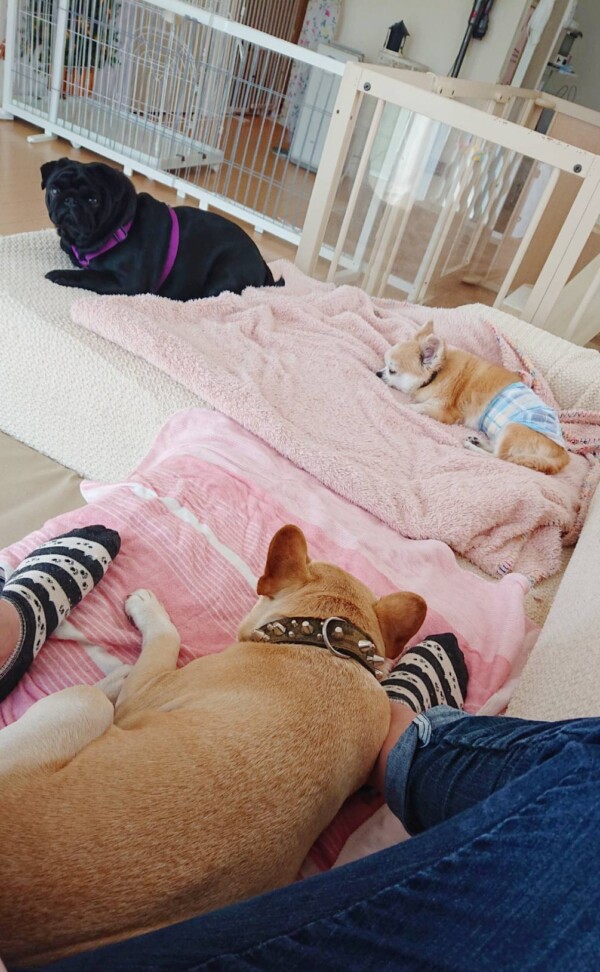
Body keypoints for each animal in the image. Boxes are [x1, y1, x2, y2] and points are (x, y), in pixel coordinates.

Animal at [0, 524, 426, 966]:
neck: (325, 643)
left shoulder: (147, 694)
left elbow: (166, 641)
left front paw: (148, 612)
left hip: (80, 704)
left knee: (97, 697)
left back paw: (115, 677)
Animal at [41, 158, 284, 300]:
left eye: (93, 200)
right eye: (54, 190)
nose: (69, 201)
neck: (121, 226)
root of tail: (262, 263)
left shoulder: (127, 283)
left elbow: (88, 276)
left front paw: (59, 275)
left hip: (225, 274)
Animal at [377, 322, 569, 475]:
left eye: (392, 371)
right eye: (384, 365)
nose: (378, 373)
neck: (437, 374)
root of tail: (563, 456)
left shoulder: (445, 412)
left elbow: (420, 407)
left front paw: (406, 406)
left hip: (513, 428)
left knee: (500, 457)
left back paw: (472, 446)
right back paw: (477, 441)